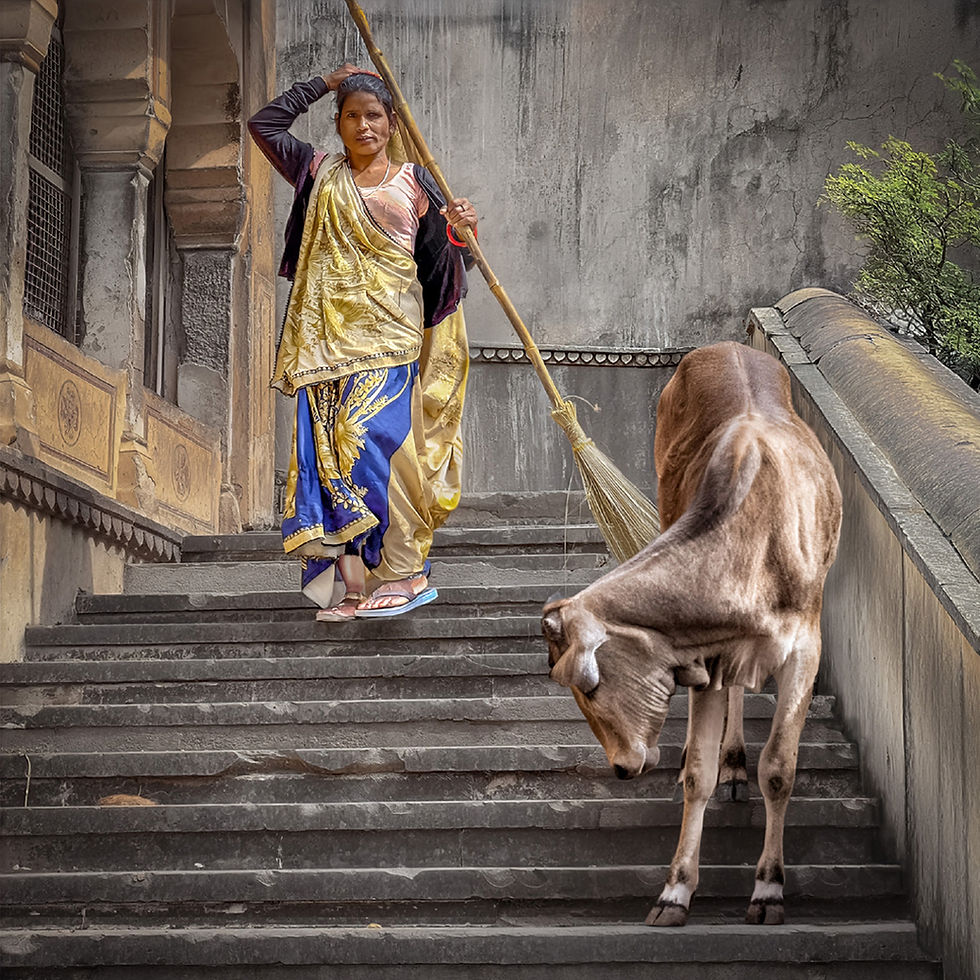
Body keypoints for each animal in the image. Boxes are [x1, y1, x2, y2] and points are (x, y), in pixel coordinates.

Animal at [542, 341, 842, 927]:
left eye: (589, 685)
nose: (622, 768)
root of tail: (726, 346)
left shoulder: (805, 649)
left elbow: (780, 768)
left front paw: (768, 890)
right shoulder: (713, 655)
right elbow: (698, 775)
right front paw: (674, 892)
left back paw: (737, 766)